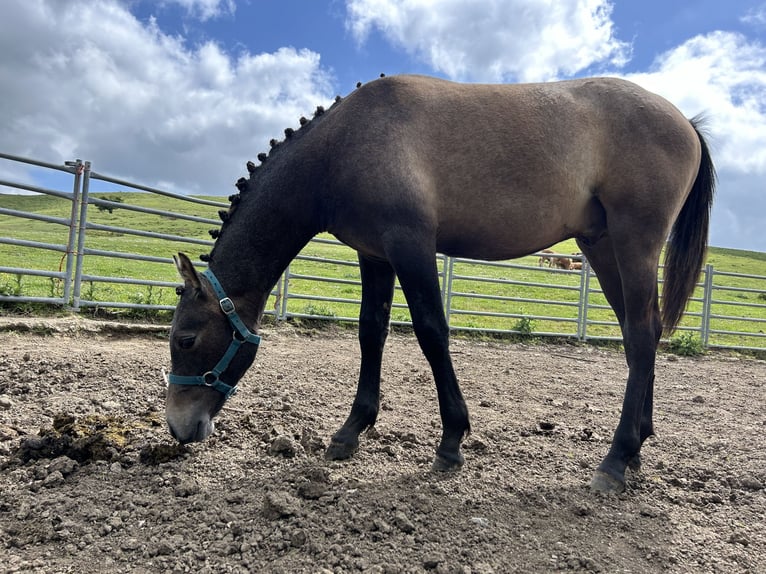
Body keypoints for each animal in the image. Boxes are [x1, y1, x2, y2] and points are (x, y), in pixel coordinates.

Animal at [165, 73, 716, 496]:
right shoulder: (375, 254)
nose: (178, 427)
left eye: (186, 340)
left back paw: (616, 459)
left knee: (641, 336)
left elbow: (432, 332)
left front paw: (451, 441)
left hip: (634, 242)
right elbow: (371, 332)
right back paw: (639, 443)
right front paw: (351, 431)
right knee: (641, 333)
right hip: (601, 246)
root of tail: (685, 122)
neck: (344, 143)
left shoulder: (410, 245)